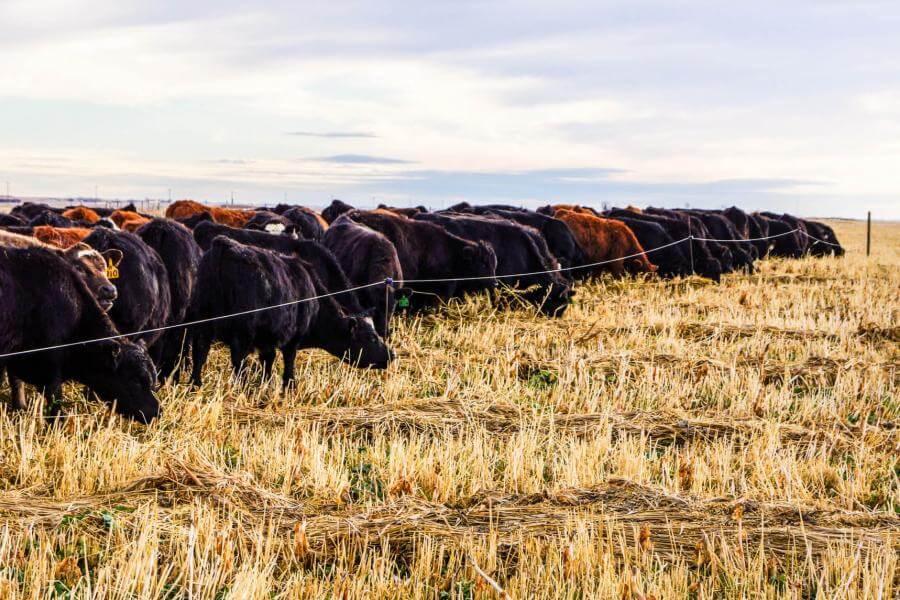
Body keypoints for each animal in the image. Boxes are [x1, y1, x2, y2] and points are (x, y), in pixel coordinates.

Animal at [188, 236, 392, 386]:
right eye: (371, 338)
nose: (391, 355)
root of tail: (225, 244)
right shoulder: (292, 339)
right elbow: (288, 363)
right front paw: (288, 386)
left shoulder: (268, 339)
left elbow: (268, 360)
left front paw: (266, 384)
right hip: (241, 334)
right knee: (238, 361)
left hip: (202, 324)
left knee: (199, 353)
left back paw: (195, 384)